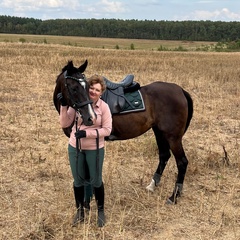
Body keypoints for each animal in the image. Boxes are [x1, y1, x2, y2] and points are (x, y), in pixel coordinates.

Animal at [53, 59, 193, 203]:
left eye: (87, 87)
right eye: (74, 88)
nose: (91, 117)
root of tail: (181, 91)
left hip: (173, 137)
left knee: (182, 162)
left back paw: (174, 196)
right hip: (159, 132)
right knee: (164, 155)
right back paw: (152, 185)